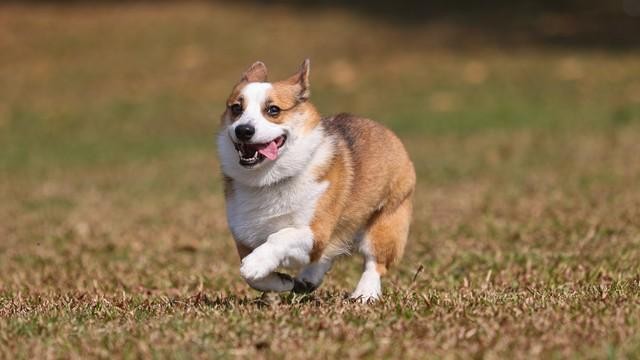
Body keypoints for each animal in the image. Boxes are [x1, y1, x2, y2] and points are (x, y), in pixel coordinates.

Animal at [216, 59, 416, 300]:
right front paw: (280, 282)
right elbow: (253, 278)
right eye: (236, 108)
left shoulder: (315, 233)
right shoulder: (244, 237)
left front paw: (256, 263)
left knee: (374, 262)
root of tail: (385, 131)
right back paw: (307, 279)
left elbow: (281, 236)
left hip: (387, 221)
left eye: (273, 110)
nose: (243, 130)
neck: (268, 180)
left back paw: (365, 293)